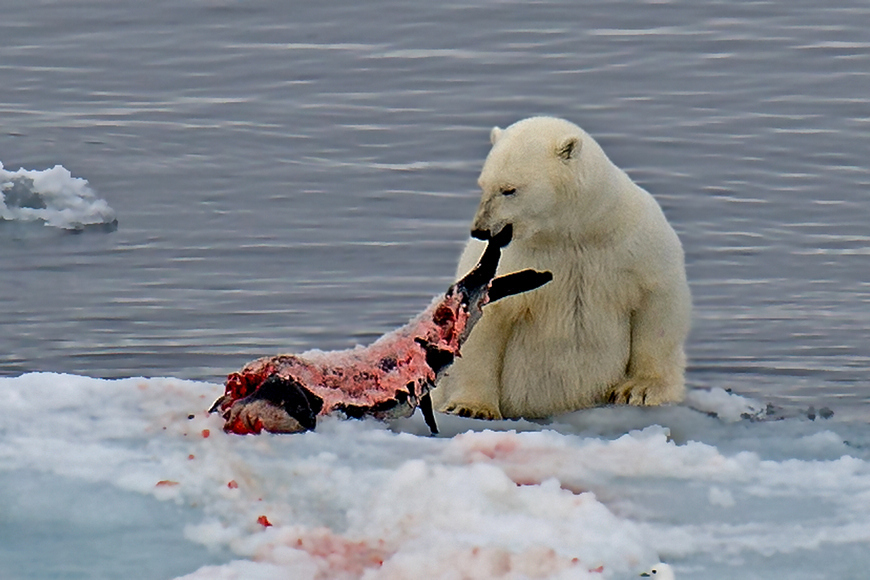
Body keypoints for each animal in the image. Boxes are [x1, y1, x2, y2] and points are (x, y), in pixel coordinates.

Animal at [432, 115, 692, 420]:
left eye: (509, 189)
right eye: (483, 185)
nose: (481, 230)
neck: (571, 233)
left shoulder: (635, 242)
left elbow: (658, 303)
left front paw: (638, 389)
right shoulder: (511, 261)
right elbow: (484, 320)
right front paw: (471, 407)